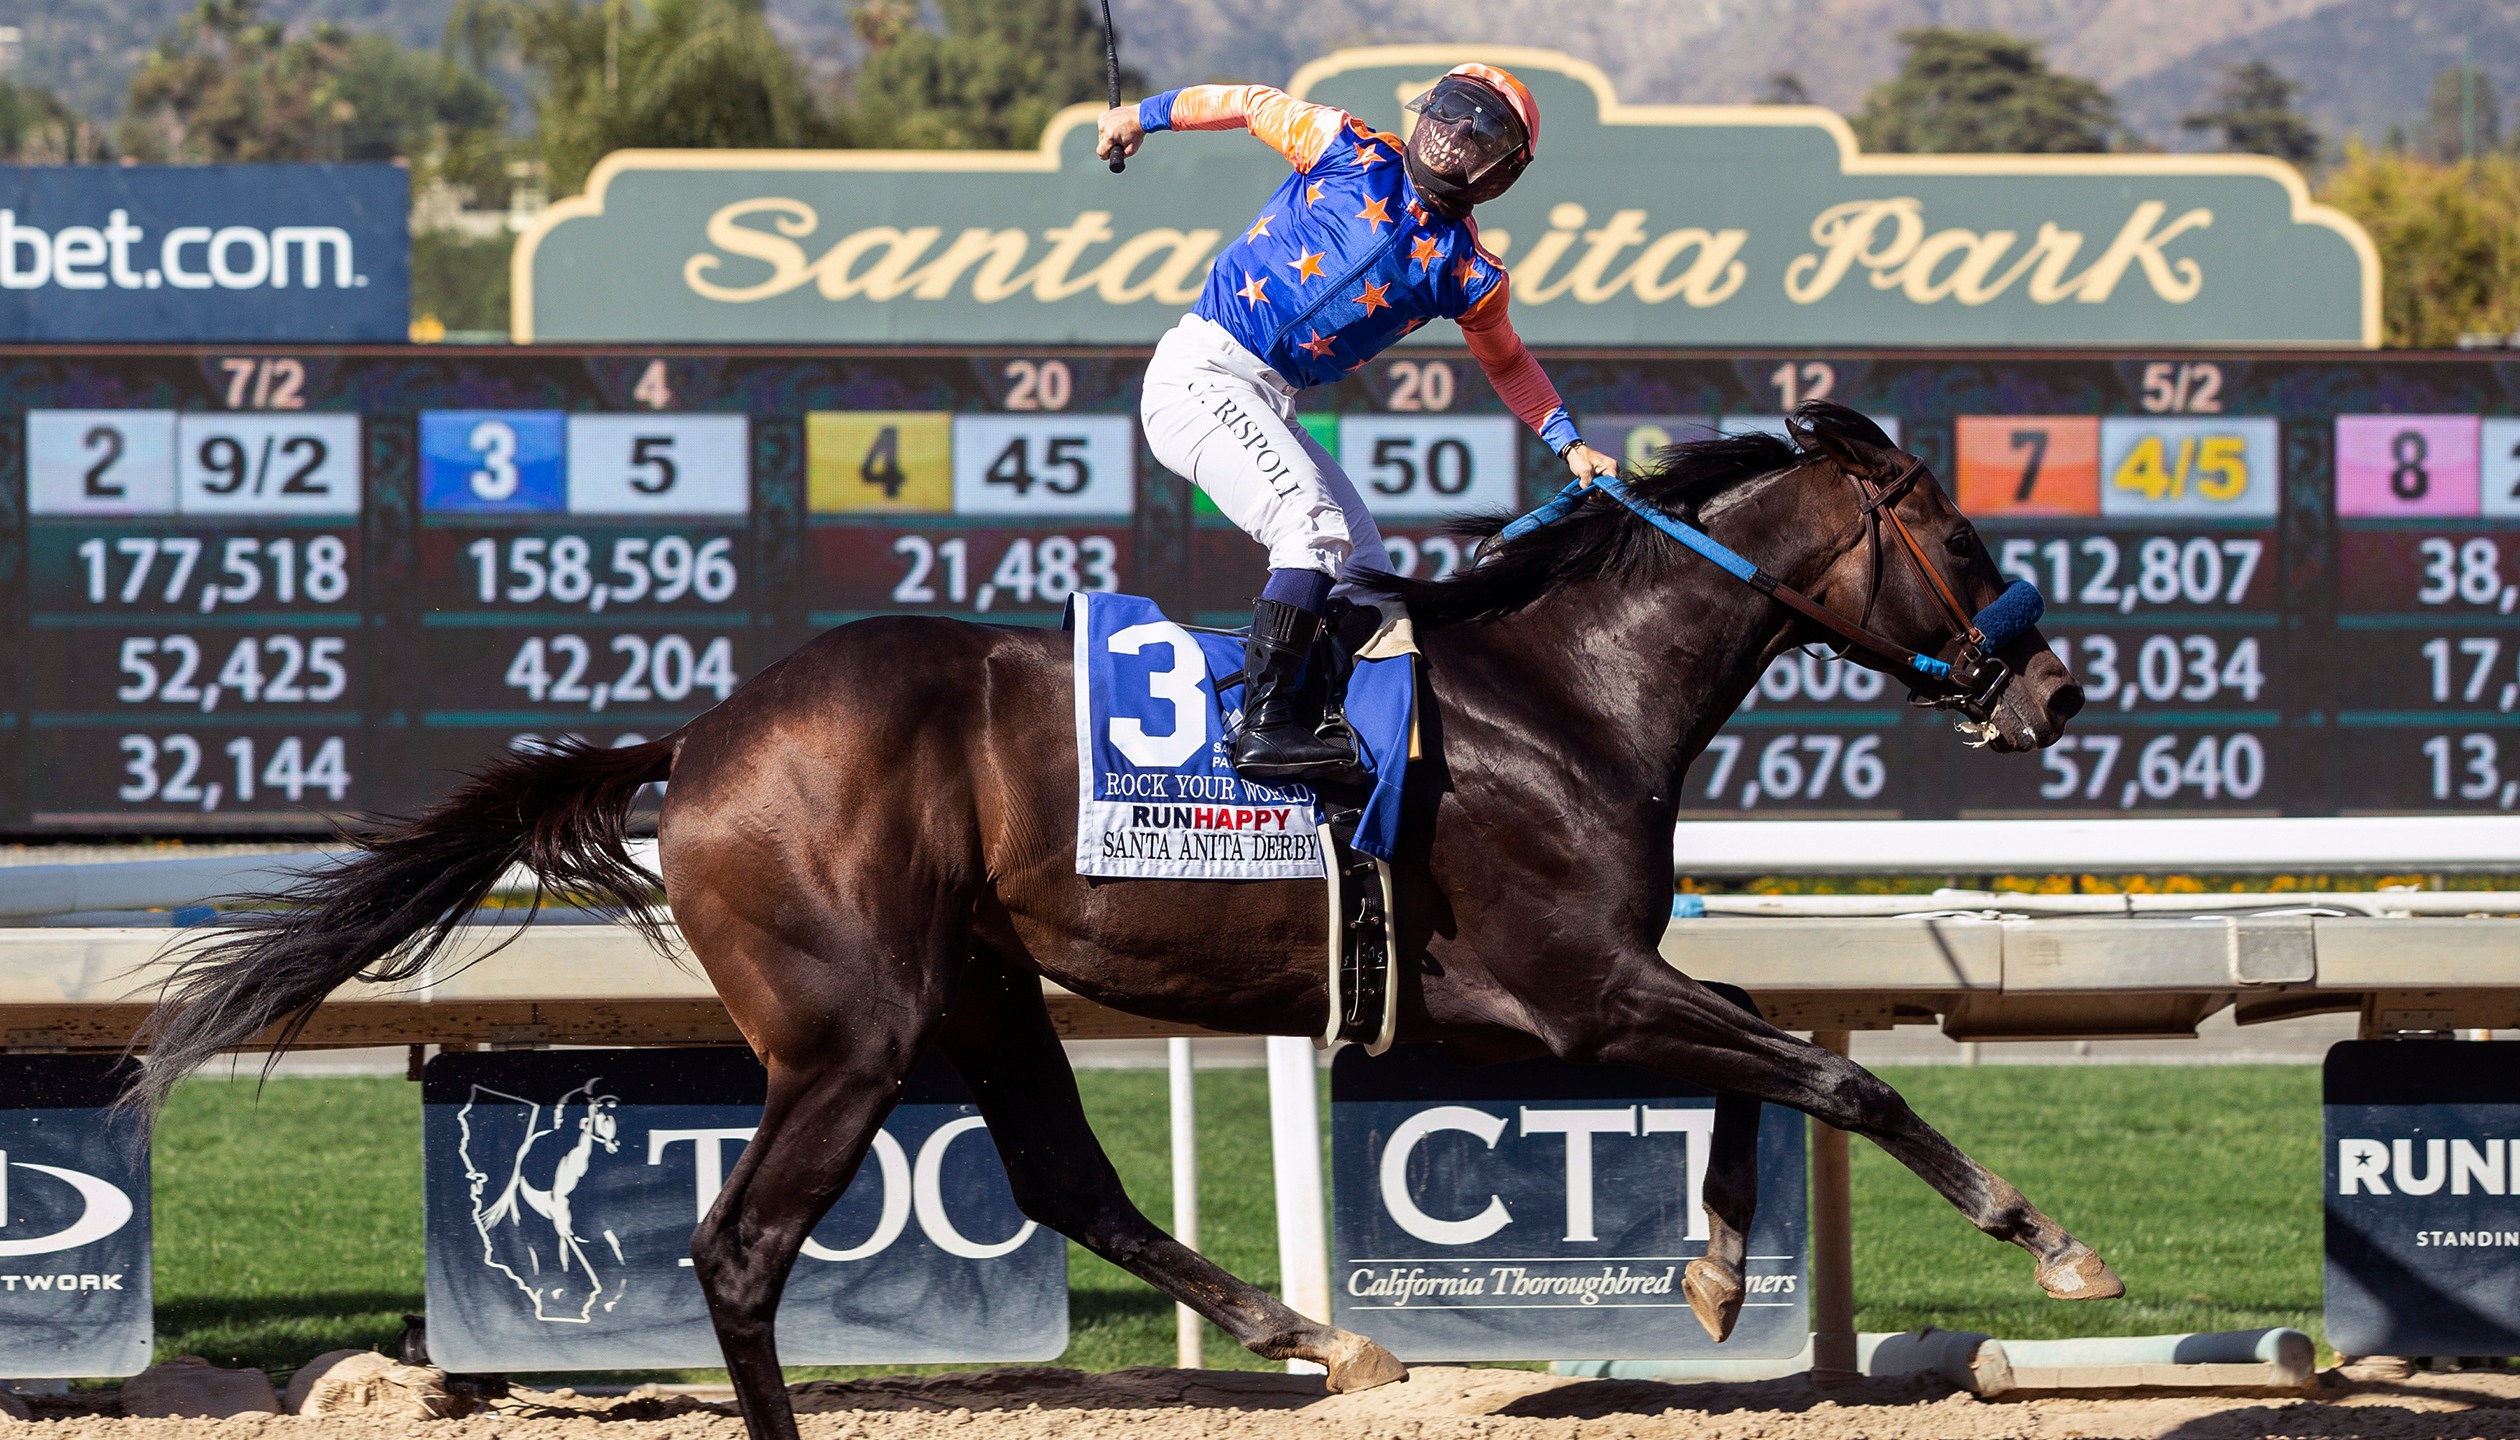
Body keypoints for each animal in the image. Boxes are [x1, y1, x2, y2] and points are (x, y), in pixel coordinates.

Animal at [132, 400, 2106, 1440]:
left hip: (982, 986)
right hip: (849, 1030)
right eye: (1949, 527)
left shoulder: (1547, 993)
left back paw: (1312, 1335)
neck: (1567, 689)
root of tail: (700, 737)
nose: (2058, 687)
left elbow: (1765, 1056)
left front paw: (1705, 1271)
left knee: (1065, 1178)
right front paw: (2048, 1236)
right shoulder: (1568, 987)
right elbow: (1834, 1077)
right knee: (740, 1250)